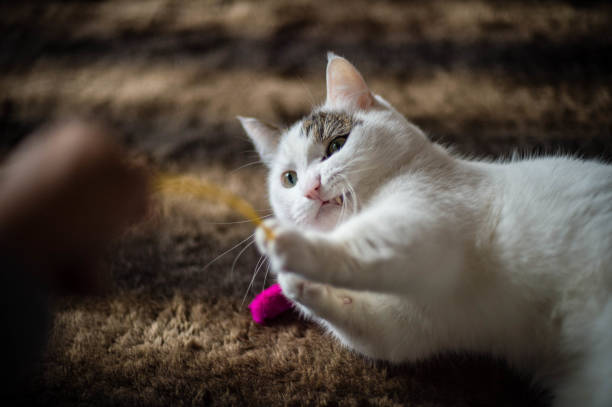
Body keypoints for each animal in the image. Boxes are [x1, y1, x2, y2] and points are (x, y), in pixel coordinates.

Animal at [238, 54, 612, 407]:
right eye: (289, 179)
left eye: (336, 145)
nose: (310, 189)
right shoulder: (414, 323)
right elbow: (374, 332)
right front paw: (298, 285)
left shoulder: (421, 222)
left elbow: (360, 246)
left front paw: (284, 243)